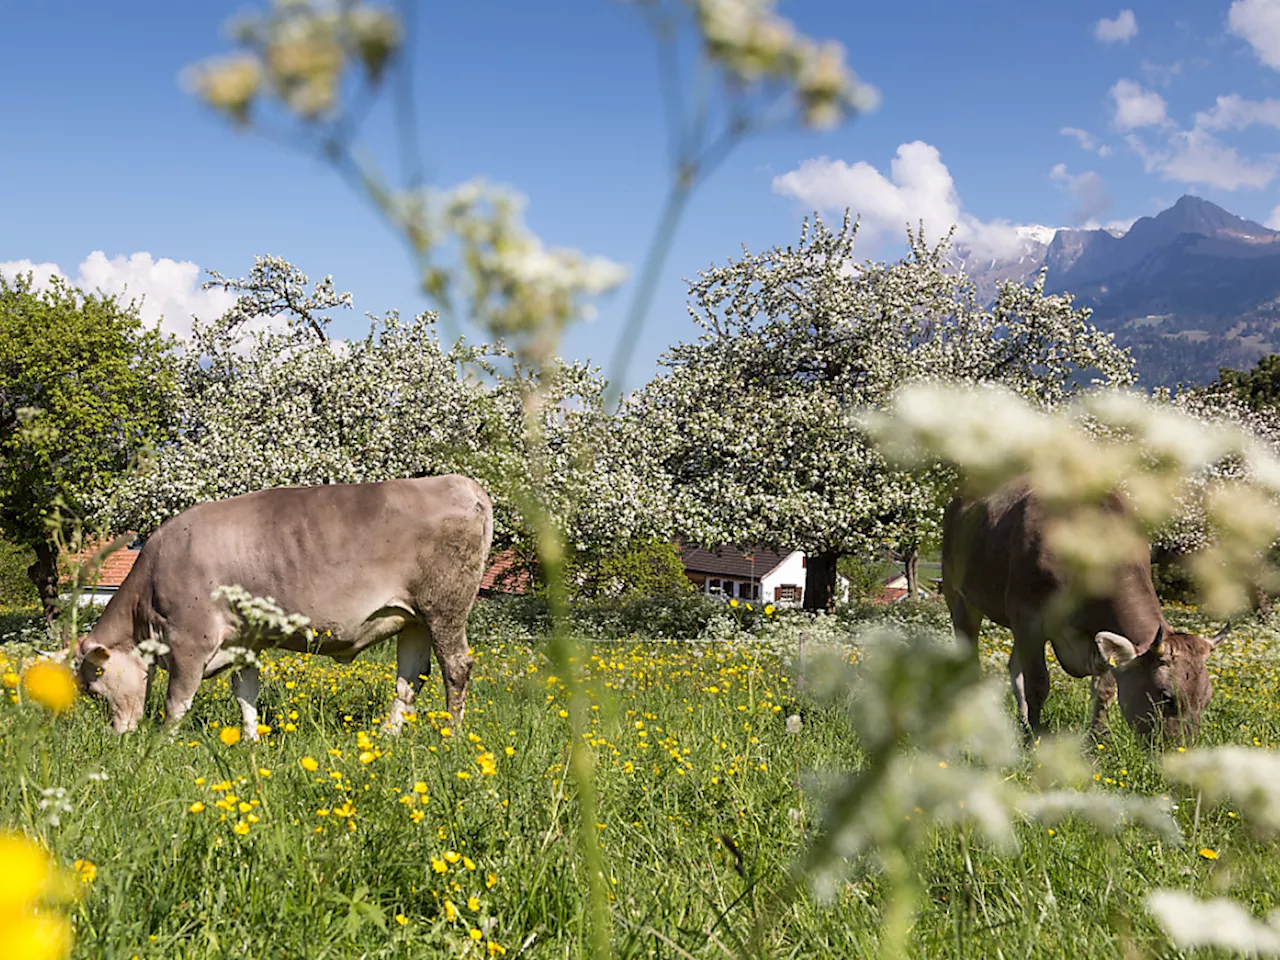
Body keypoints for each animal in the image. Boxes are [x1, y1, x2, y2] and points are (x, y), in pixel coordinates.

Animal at [71, 478, 494, 742]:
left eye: (92, 687)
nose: (116, 734)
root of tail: (461, 482)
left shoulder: (189, 639)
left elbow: (177, 701)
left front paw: (162, 745)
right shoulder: (242, 641)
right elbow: (245, 693)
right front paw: (250, 741)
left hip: (445, 608)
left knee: (456, 668)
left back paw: (452, 737)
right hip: (414, 619)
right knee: (410, 679)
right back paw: (387, 737)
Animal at [947, 481, 1223, 742]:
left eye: (1206, 699)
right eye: (1166, 696)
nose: (1181, 750)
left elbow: (1104, 690)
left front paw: (1098, 738)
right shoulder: (1028, 620)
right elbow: (1037, 684)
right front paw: (1037, 738)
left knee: (1014, 669)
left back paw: (1022, 723)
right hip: (958, 597)